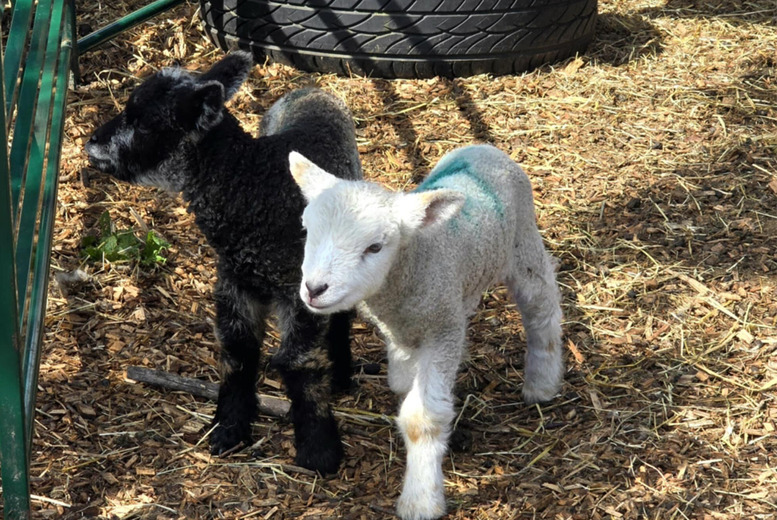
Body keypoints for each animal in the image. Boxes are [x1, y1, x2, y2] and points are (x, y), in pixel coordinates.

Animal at [85, 52, 362, 474]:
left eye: (144, 121)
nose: (93, 142)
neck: (252, 185)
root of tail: (311, 89)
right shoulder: (233, 281)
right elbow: (237, 351)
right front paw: (228, 428)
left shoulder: (296, 289)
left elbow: (299, 363)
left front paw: (319, 450)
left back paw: (343, 373)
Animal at [288, 144, 564, 520]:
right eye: (305, 230)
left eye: (375, 247)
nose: (314, 289)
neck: (413, 263)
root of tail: (485, 148)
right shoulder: (404, 330)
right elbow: (403, 385)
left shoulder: (443, 329)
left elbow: (421, 418)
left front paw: (420, 500)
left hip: (523, 244)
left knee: (542, 306)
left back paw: (542, 381)